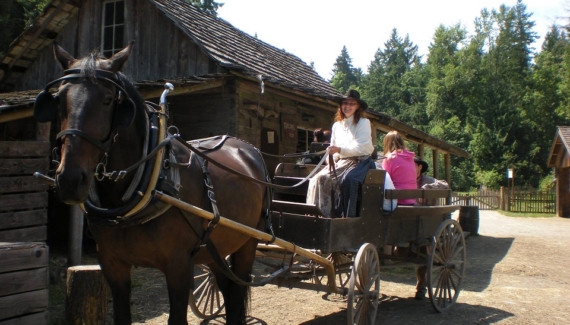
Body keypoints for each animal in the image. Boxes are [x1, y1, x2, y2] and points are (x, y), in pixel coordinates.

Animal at [33, 41, 268, 324]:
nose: (69, 179)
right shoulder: (112, 265)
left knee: (238, 289)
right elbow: (121, 315)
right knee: (226, 289)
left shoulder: (179, 267)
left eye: (108, 100)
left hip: (248, 242)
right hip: (217, 247)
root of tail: (247, 148)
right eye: (59, 101)